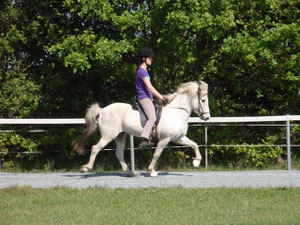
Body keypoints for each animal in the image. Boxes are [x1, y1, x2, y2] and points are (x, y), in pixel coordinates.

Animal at [72, 80, 210, 177]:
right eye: (203, 100)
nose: (207, 117)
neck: (176, 111)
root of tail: (102, 109)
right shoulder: (164, 139)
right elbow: (157, 154)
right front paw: (152, 171)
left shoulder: (178, 138)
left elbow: (194, 144)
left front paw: (196, 162)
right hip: (108, 136)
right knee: (95, 148)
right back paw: (85, 168)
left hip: (120, 136)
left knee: (119, 153)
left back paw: (129, 172)